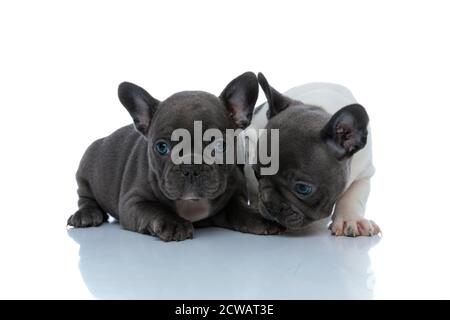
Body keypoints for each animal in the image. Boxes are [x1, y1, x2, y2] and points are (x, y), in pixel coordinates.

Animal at [67, 72, 284, 241]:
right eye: (162, 147)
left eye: (220, 146)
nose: (191, 166)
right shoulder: (132, 203)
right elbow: (154, 209)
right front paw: (173, 223)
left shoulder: (234, 197)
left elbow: (240, 210)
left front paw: (262, 218)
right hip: (85, 171)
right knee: (85, 197)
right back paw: (86, 215)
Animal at [244, 74, 382, 236]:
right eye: (257, 174)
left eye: (303, 188)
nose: (269, 204)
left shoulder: (363, 173)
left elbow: (353, 196)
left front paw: (350, 219)